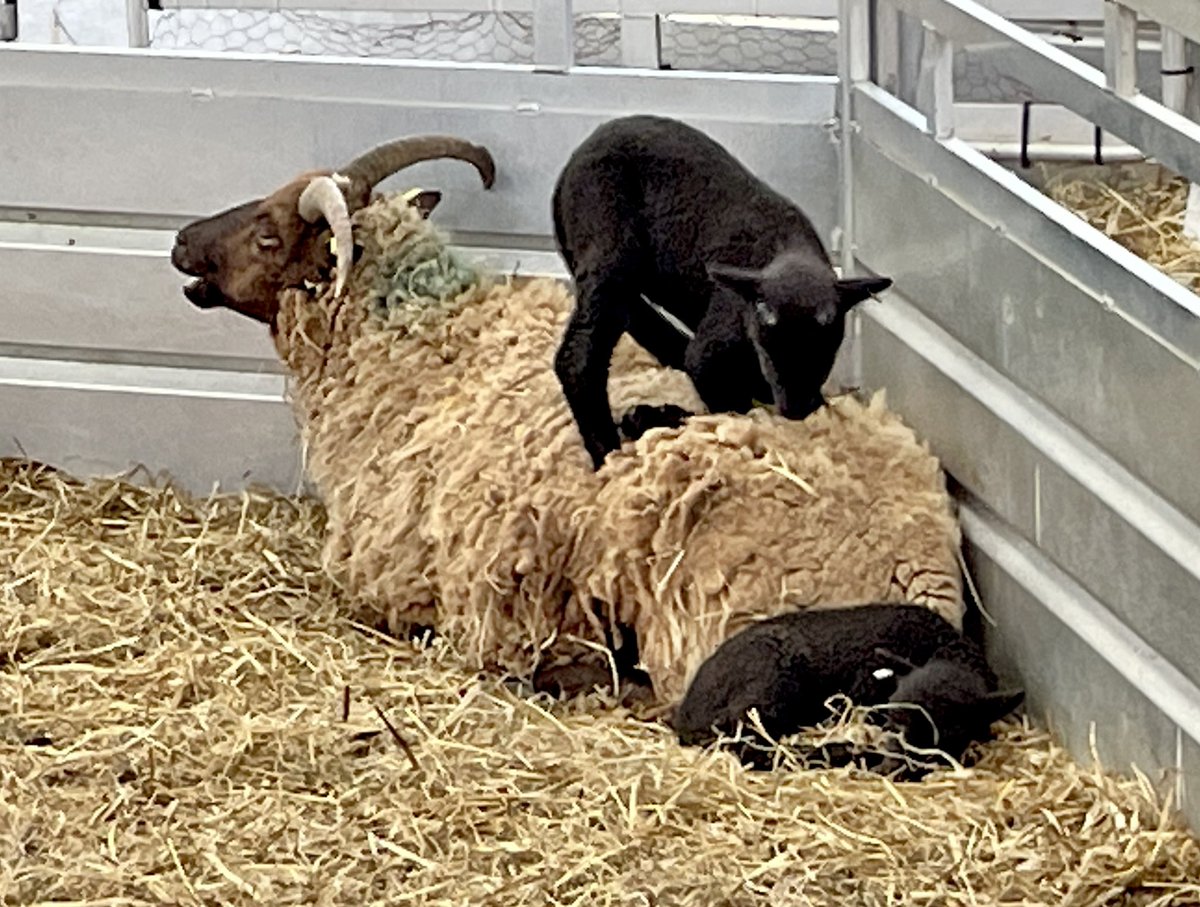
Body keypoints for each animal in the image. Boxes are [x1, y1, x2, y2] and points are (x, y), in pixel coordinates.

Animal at [552, 112, 892, 467]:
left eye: (825, 354)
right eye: (769, 353)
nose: (796, 412)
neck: (787, 248)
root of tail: (569, 170)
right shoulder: (716, 346)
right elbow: (729, 403)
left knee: (642, 322)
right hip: (611, 247)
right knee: (578, 356)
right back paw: (610, 449)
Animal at [672, 604, 1027, 777]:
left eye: (950, 732)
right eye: (894, 718)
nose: (893, 770)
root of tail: (686, 714)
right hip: (767, 682)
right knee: (746, 742)